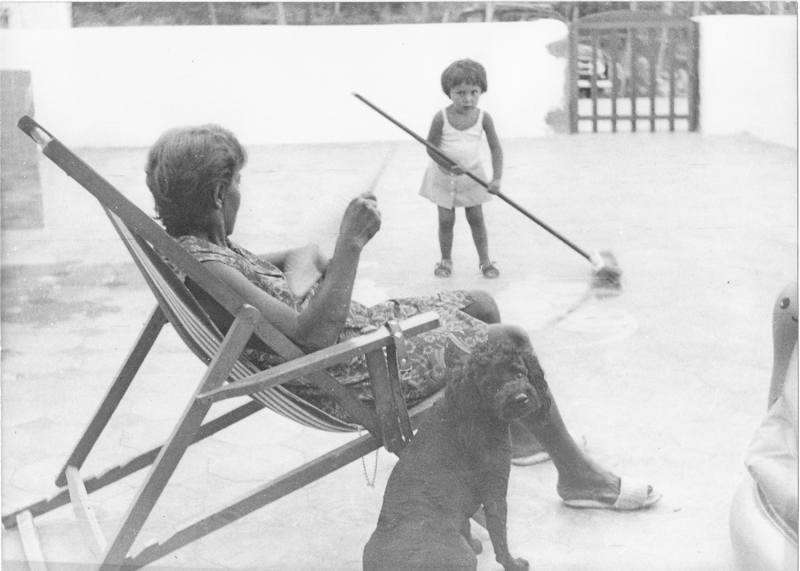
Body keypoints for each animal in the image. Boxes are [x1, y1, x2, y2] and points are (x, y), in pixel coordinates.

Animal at [363, 340, 551, 571]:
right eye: (491, 386)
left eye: (519, 373)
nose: (521, 398)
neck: (471, 409)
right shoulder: (495, 493)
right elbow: (499, 537)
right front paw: (513, 563)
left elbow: (466, 523)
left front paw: (473, 542)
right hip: (463, 557)